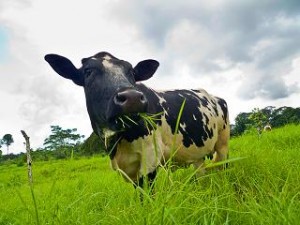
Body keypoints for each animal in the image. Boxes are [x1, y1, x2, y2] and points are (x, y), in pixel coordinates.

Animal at [44, 52, 230, 188]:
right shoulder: (128, 169)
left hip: (223, 142)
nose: (132, 98)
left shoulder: (150, 157)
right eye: (88, 71)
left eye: (132, 72)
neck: (119, 141)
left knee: (225, 165)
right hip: (198, 155)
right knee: (201, 171)